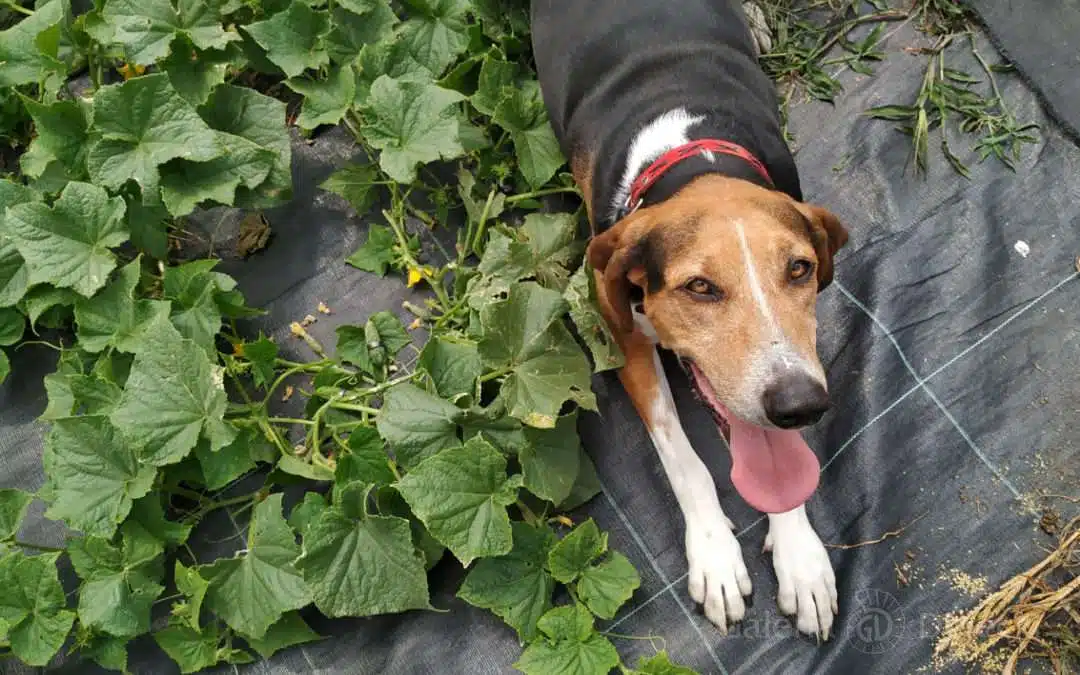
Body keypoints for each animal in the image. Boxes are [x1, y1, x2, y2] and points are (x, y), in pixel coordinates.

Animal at [530, 0, 849, 639]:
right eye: (699, 287)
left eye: (800, 269)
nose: (800, 405)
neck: (693, 152)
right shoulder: (623, 335)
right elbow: (681, 455)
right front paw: (716, 555)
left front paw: (800, 555)